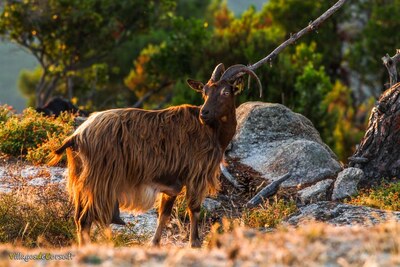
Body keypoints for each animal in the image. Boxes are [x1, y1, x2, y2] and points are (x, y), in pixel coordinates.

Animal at [48, 63, 262, 249]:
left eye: (225, 92)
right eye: (205, 92)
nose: (204, 113)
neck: (211, 131)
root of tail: (77, 136)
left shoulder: (172, 184)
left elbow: (164, 214)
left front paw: (155, 243)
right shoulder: (196, 175)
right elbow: (194, 208)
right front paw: (195, 242)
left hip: (81, 182)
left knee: (78, 217)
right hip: (101, 181)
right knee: (85, 218)